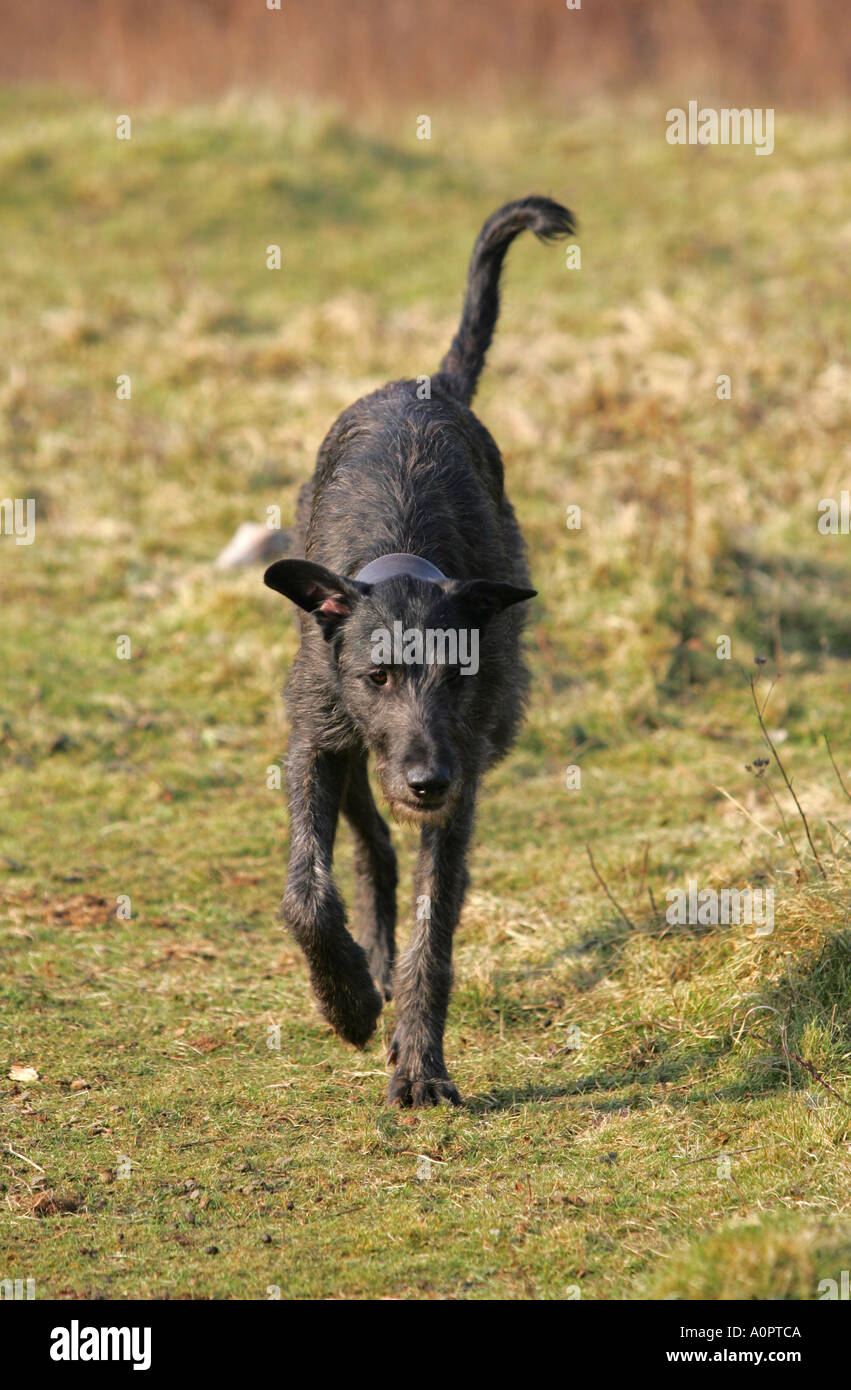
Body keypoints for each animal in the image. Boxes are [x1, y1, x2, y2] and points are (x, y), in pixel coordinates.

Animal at [262, 195, 575, 1106]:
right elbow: (306, 893)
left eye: (456, 674)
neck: (401, 557)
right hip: (337, 731)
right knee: (367, 833)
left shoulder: (464, 770)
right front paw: (347, 1000)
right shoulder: (317, 734)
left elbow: (434, 933)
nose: (426, 781)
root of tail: (422, 384)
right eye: (379, 674)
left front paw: (420, 1061)